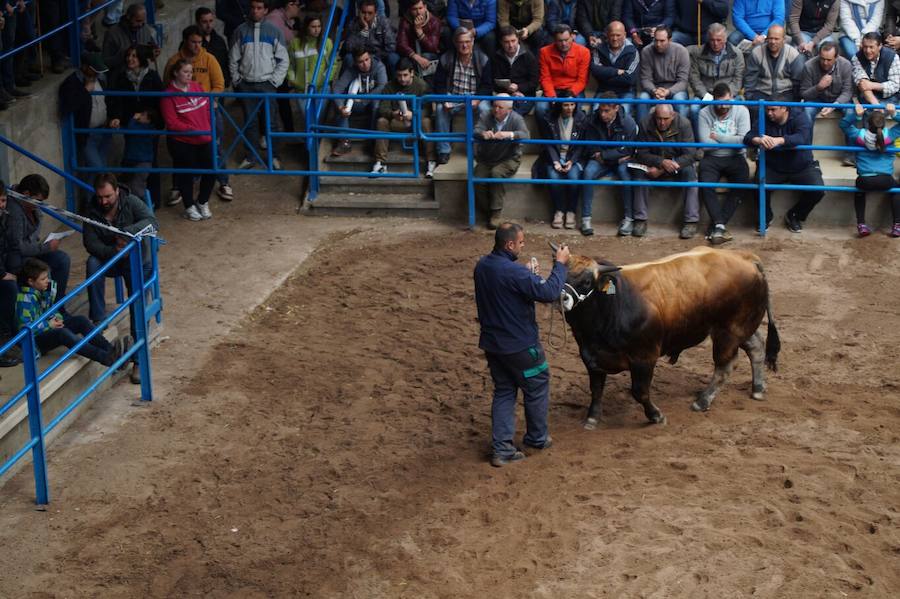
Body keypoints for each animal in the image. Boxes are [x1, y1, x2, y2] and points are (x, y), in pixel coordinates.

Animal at [564, 246, 780, 428]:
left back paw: (703, 401)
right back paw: (758, 388)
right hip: (742, 327)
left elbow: (640, 391)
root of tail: (745, 257)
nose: (563, 297)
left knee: (725, 365)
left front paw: (656, 416)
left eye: (586, 281)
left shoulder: (644, 357)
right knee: (756, 347)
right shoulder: (591, 356)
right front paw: (592, 418)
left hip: (728, 331)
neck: (614, 303)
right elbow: (596, 389)